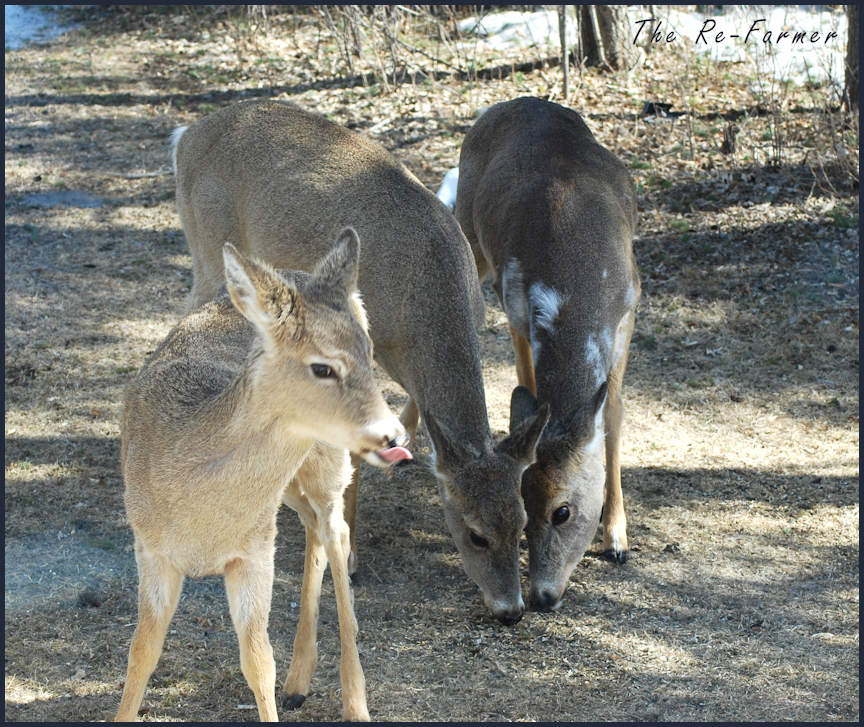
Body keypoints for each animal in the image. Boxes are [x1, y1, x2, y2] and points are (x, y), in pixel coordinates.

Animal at [115, 229, 413, 722]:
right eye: (322, 367)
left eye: (370, 355)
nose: (393, 435)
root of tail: (301, 275)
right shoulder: (149, 548)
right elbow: (141, 653)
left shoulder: (253, 552)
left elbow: (257, 661)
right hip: (288, 487)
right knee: (314, 527)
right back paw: (299, 683)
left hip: (326, 463)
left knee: (336, 531)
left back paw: (353, 703)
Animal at [170, 99, 550, 628]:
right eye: (474, 533)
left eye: (522, 522)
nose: (511, 610)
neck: (425, 303)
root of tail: (186, 134)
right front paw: (347, 556)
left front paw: (400, 453)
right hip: (207, 248)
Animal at [454, 97, 641, 612]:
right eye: (524, 508)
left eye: (562, 511)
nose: (540, 595)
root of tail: (517, 101)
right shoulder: (519, 305)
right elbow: (528, 383)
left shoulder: (631, 307)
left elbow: (613, 413)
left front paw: (617, 538)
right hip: (474, 238)